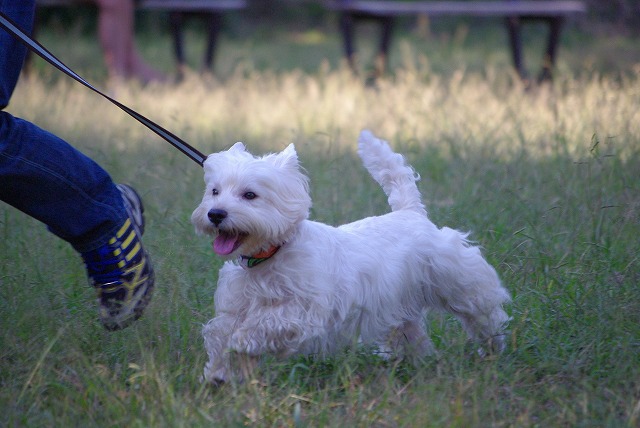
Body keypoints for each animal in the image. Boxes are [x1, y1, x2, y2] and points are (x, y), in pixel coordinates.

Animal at [190, 130, 510, 384]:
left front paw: (240, 342)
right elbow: (221, 334)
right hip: (399, 303)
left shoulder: (305, 309)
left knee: (482, 310)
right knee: (411, 332)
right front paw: (218, 374)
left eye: (250, 195)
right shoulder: (237, 304)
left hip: (455, 278)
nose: (215, 214)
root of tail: (411, 212)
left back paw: (492, 346)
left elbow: (264, 324)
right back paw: (417, 362)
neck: (270, 255)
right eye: (214, 191)